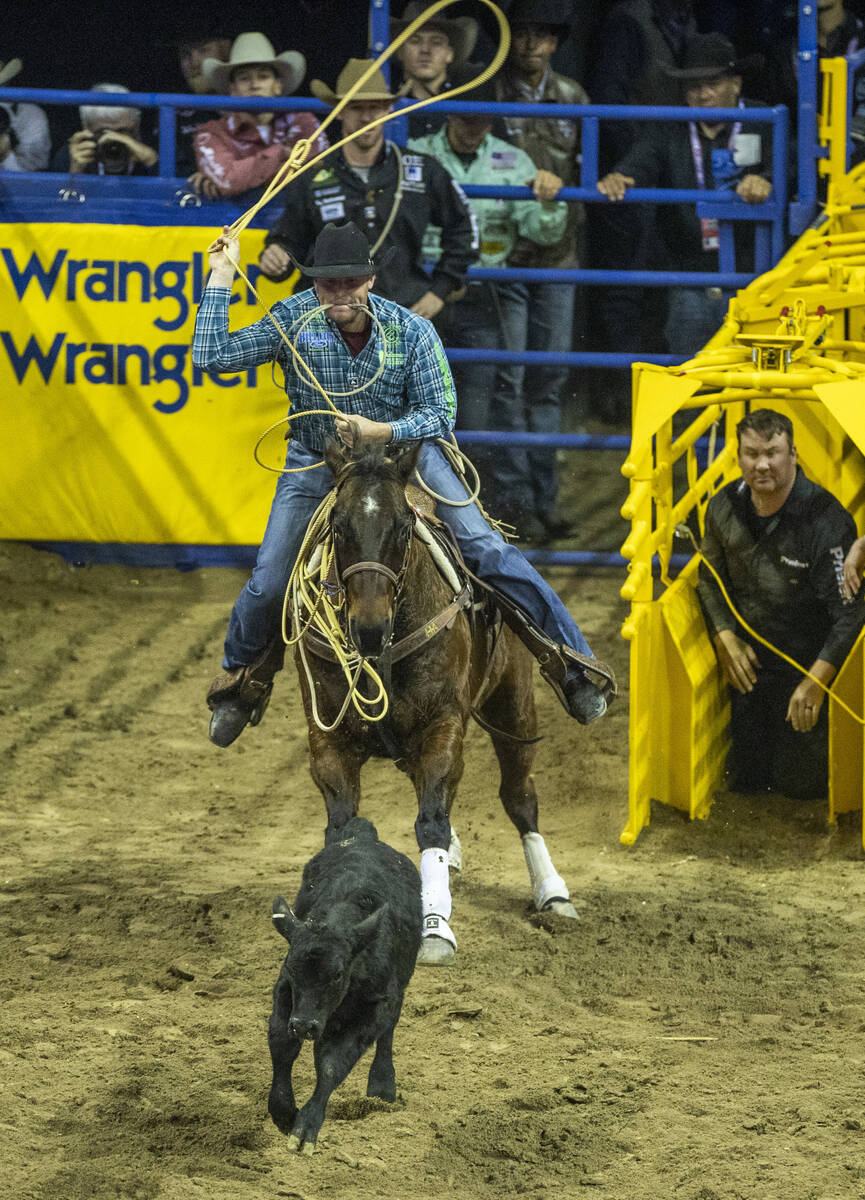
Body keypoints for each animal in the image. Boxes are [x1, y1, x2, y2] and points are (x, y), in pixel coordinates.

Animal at [293, 441, 575, 964]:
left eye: (403, 527)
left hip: (514, 703)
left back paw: (552, 892)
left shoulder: (442, 725)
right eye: (337, 525)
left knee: (519, 797)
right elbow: (345, 829)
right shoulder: (328, 741)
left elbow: (430, 821)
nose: (368, 627)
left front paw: (435, 925)